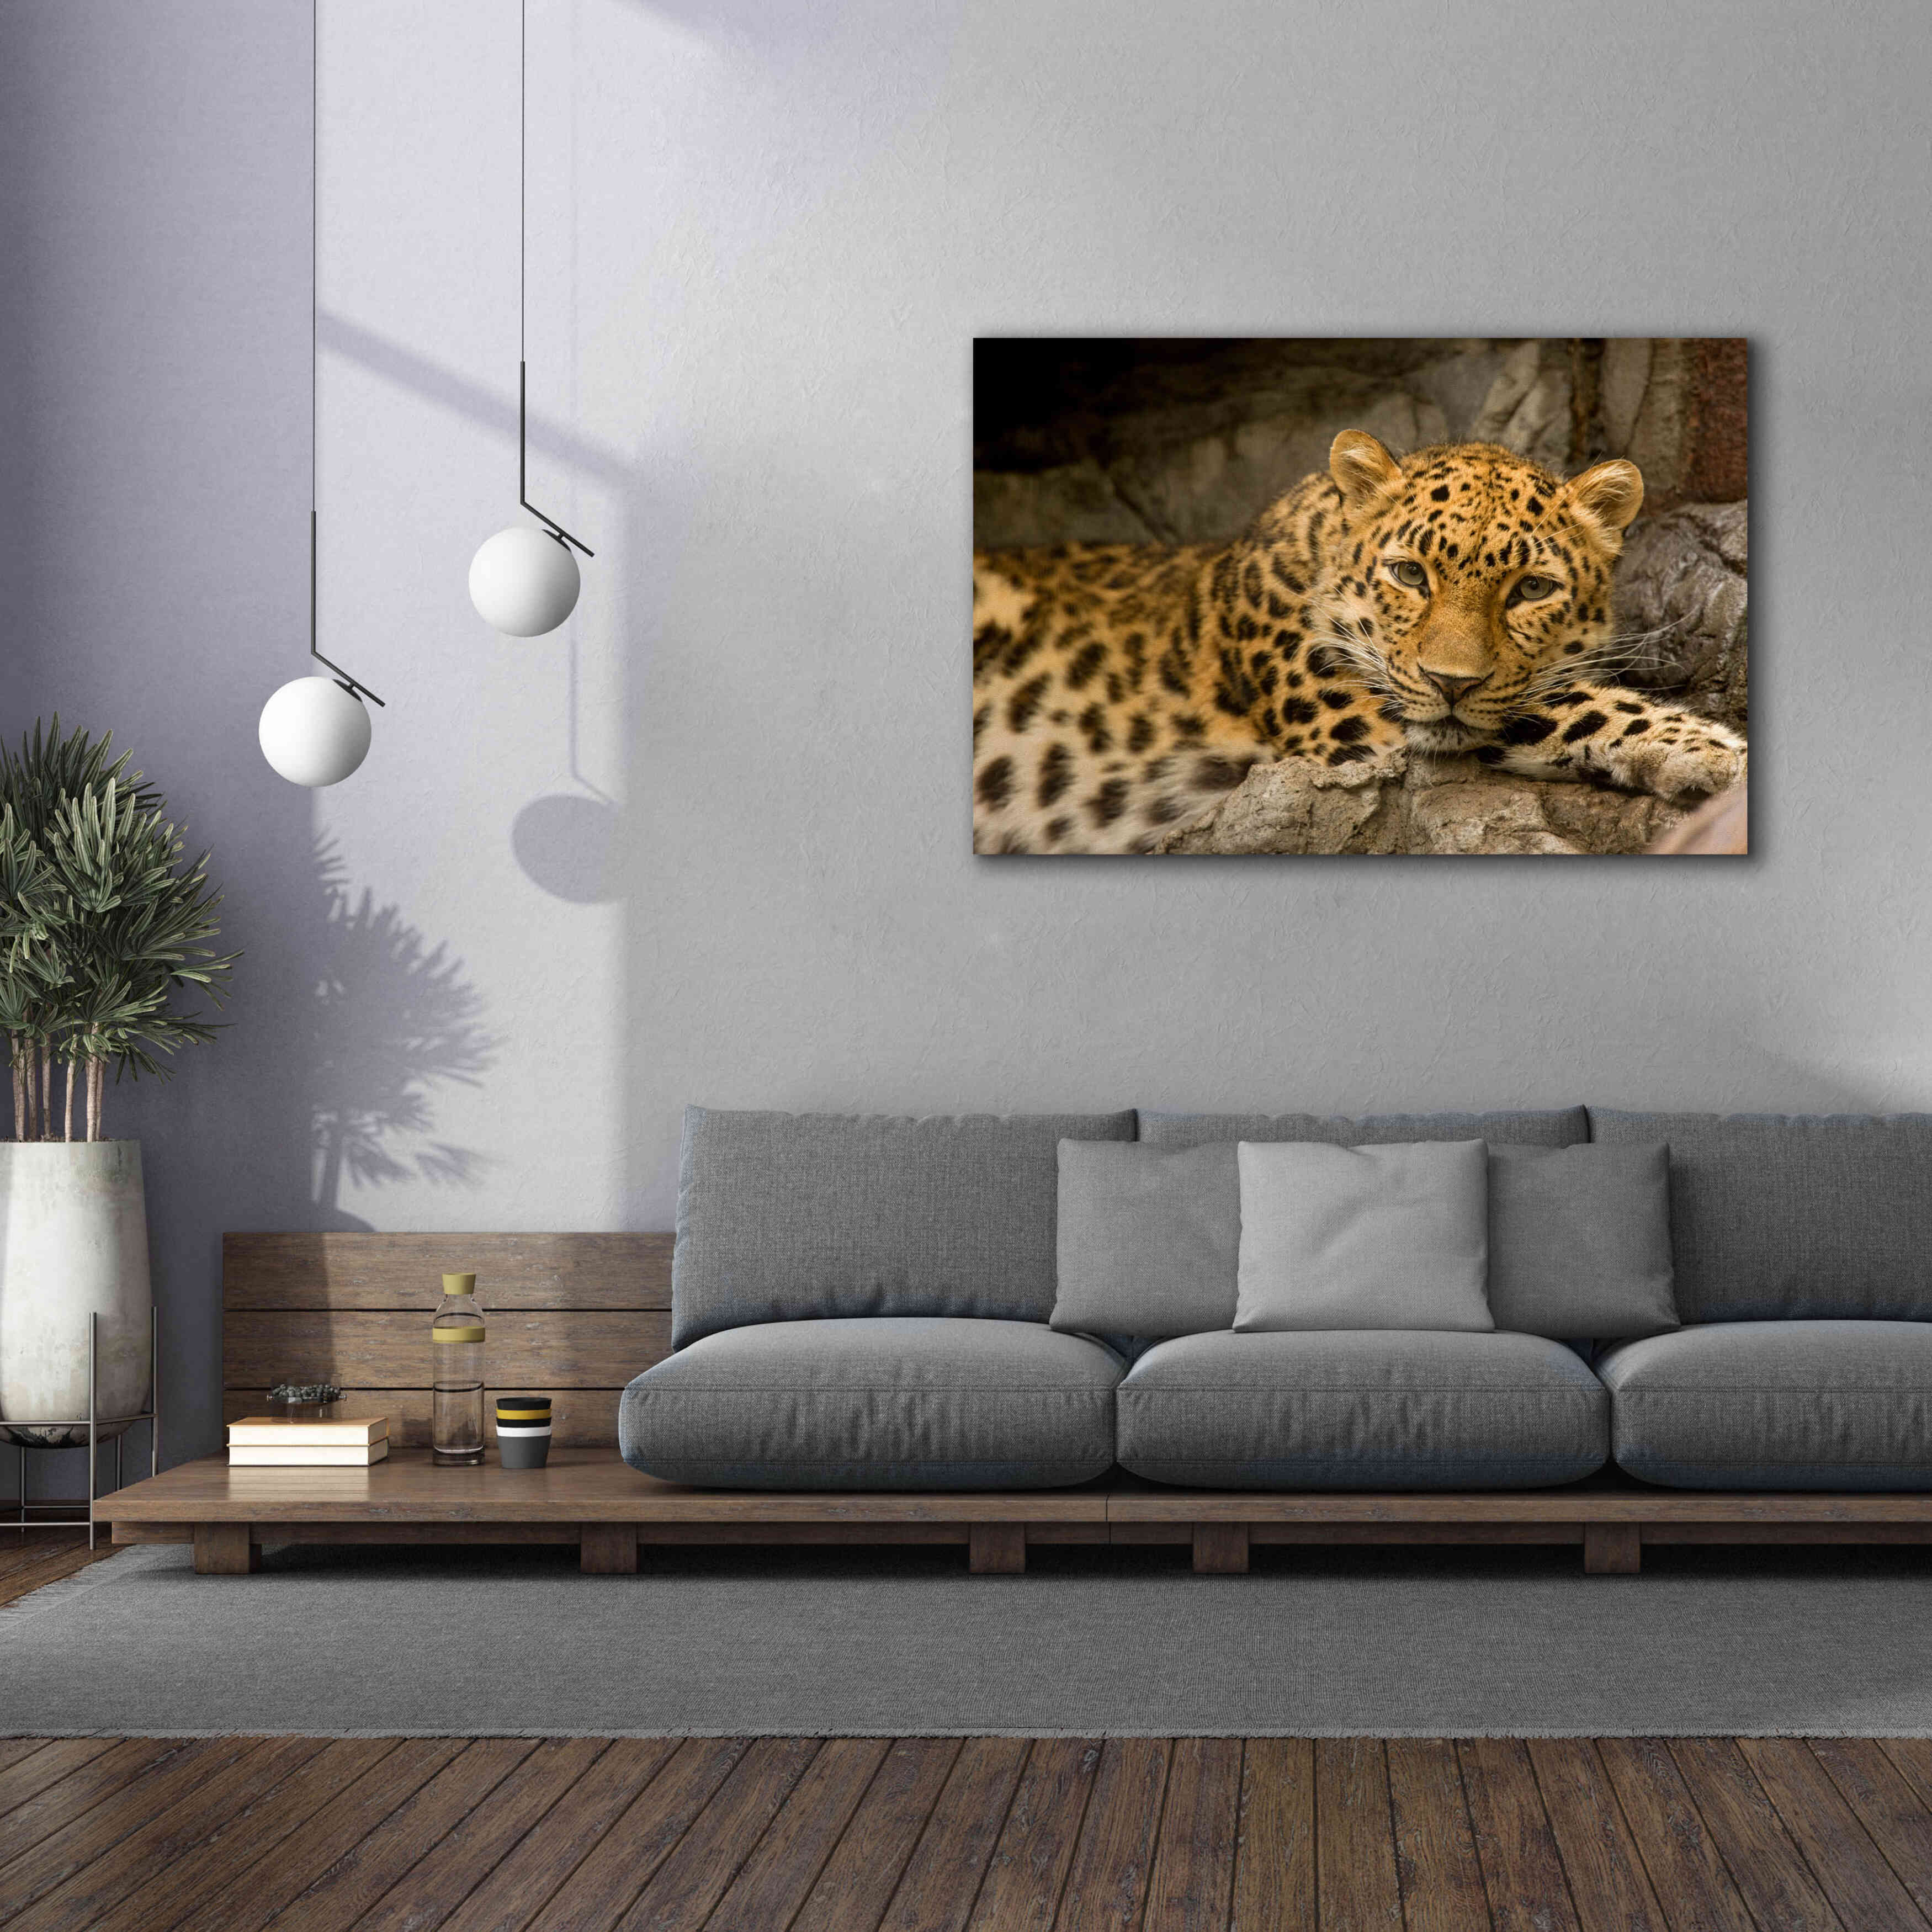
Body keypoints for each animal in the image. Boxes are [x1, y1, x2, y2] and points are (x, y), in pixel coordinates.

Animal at [972, 430, 1746, 854]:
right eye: (1408, 574)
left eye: (1530, 589)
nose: (1451, 681)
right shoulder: (1359, 718)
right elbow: (1572, 703)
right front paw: (1717, 752)